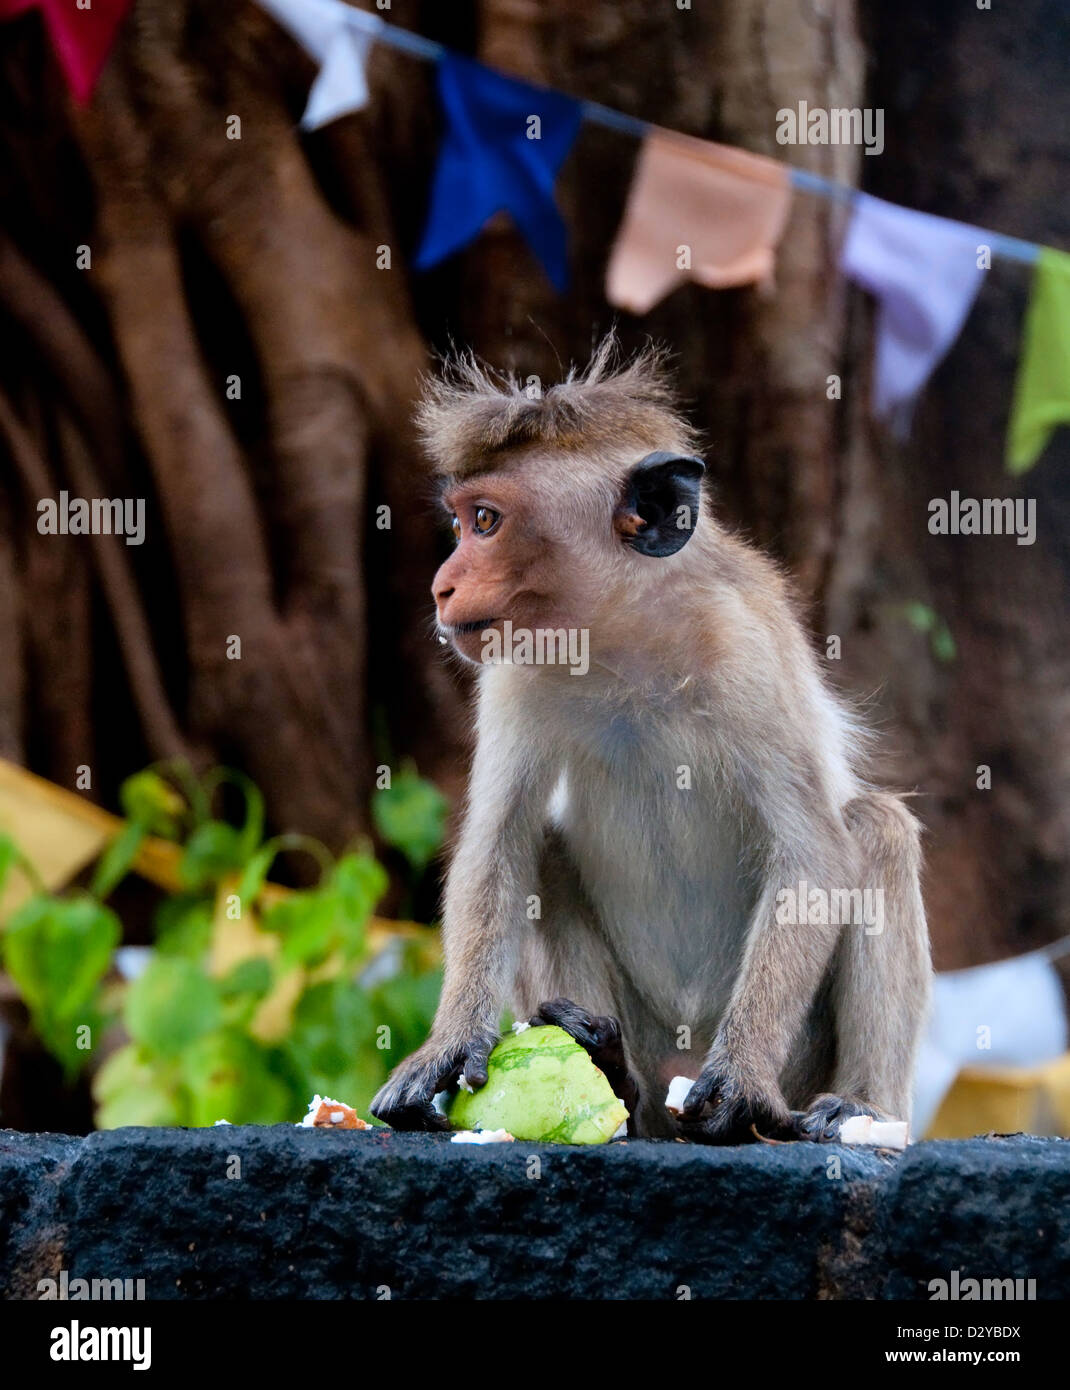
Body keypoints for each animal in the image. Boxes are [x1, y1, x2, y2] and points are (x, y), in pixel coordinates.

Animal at [370, 339, 931, 1143]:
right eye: (460, 524)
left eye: (485, 521)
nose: (442, 586)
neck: (623, 642)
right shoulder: (514, 671)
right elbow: (499, 844)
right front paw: (447, 1046)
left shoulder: (745, 652)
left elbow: (815, 853)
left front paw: (742, 1076)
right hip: (649, 1041)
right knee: (544, 849)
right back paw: (608, 1064)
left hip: (798, 1060)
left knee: (875, 826)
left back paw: (862, 1107)